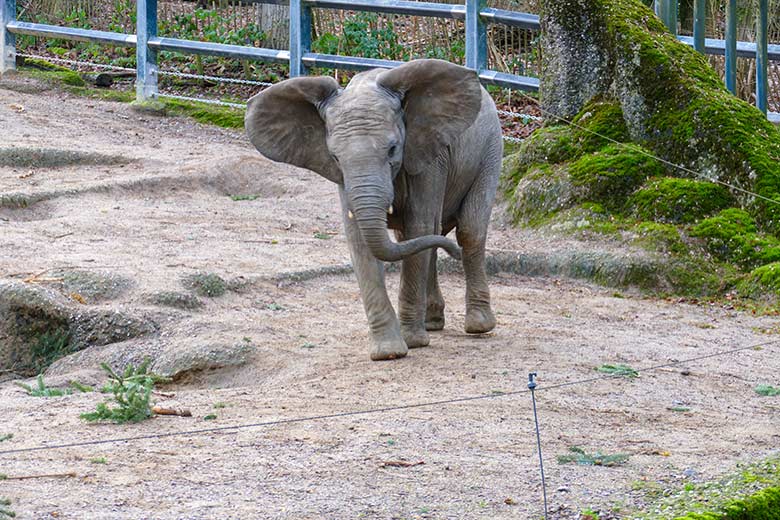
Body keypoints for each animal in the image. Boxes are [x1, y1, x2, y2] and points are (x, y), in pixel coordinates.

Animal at [245, 59, 506, 362]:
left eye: (393, 149)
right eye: (334, 157)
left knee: (467, 230)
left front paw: (411, 342)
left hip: (491, 148)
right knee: (420, 239)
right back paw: (432, 323)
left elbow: (420, 225)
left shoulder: (428, 156)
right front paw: (388, 352)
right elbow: (361, 240)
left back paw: (478, 325)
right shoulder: (343, 178)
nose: (453, 252)